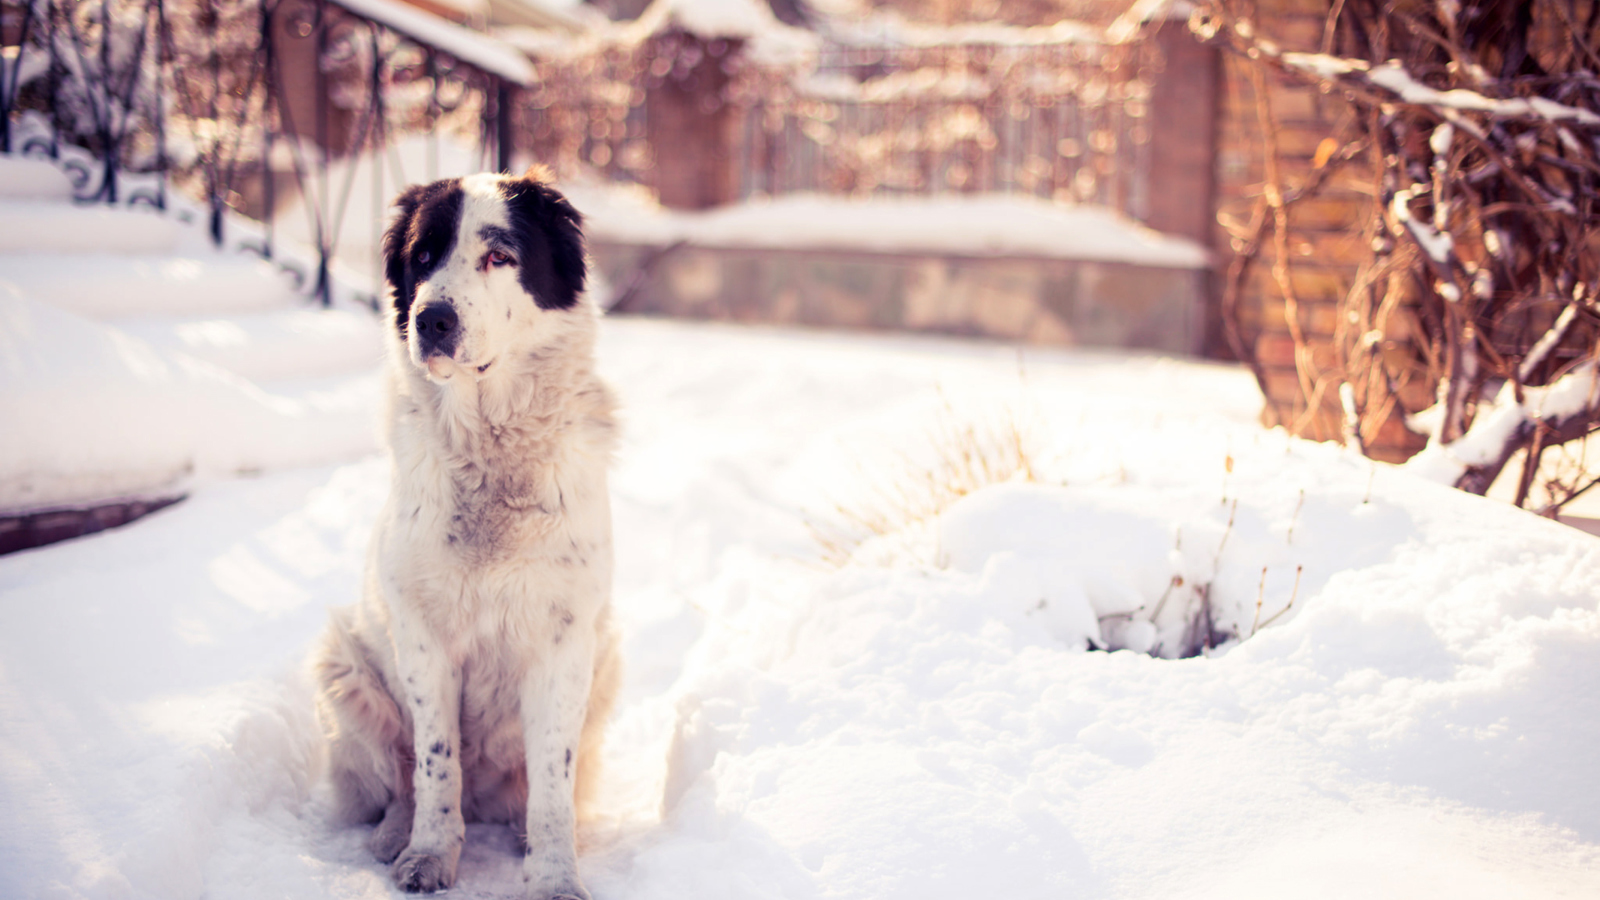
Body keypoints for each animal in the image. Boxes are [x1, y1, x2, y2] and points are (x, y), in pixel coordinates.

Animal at [312, 166, 617, 890]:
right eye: (423, 257)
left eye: (498, 256)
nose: (432, 319)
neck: (491, 454)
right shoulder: (423, 641)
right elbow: (434, 761)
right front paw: (428, 855)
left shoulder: (564, 643)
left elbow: (554, 781)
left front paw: (554, 877)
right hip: (345, 663)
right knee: (400, 779)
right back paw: (394, 836)